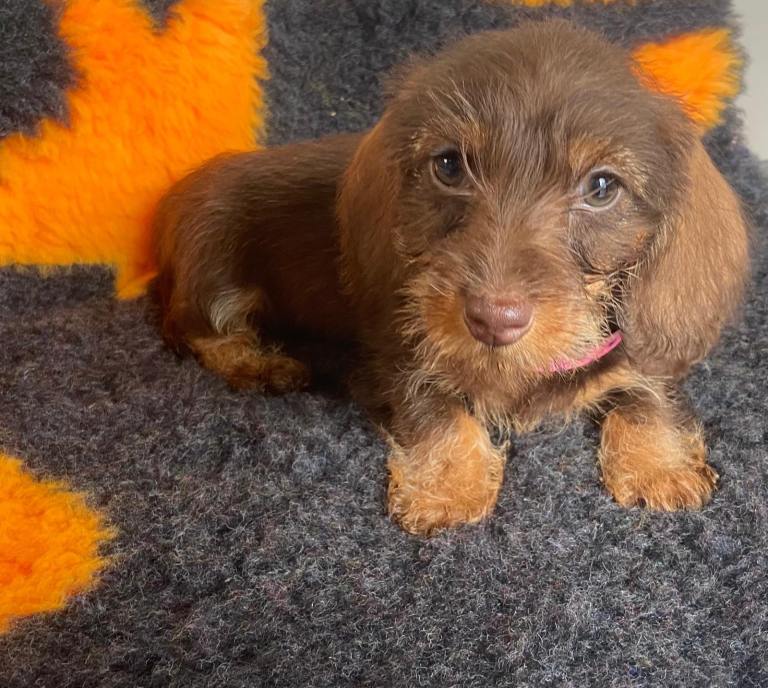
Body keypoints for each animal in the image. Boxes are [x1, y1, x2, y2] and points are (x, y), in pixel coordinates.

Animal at [153, 20, 750, 535]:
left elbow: (648, 394)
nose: (492, 320)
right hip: (214, 265)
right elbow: (436, 410)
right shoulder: (393, 358)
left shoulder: (634, 352)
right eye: (449, 165)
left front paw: (660, 468)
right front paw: (449, 489)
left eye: (602, 187)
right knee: (198, 331)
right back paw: (262, 364)